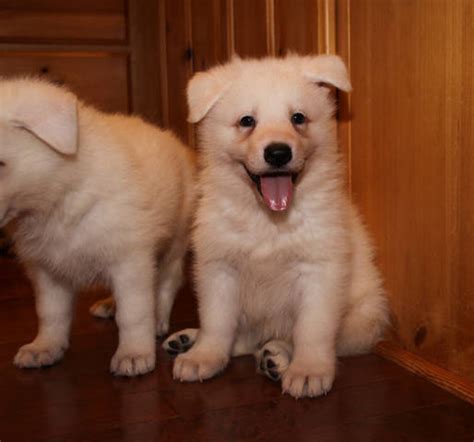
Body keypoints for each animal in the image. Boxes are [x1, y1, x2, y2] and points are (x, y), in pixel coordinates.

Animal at [0, 78, 195, 376]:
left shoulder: (130, 260)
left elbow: (134, 313)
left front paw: (134, 353)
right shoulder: (46, 269)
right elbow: (50, 313)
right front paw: (44, 347)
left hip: (174, 241)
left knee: (166, 282)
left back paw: (159, 318)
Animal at [164, 54, 388, 398]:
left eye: (298, 118)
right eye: (247, 121)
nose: (279, 153)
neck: (268, 221)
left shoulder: (319, 272)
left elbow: (312, 330)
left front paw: (309, 370)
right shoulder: (219, 269)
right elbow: (217, 322)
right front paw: (205, 355)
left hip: (361, 319)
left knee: (298, 338)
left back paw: (276, 356)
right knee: (243, 338)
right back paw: (190, 339)